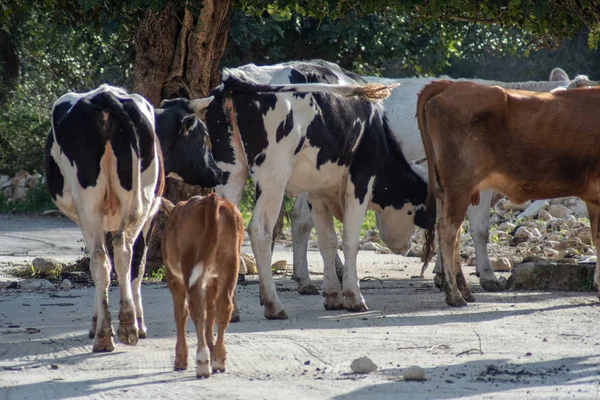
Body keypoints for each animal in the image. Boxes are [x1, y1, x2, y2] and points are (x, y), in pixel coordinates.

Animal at [45, 83, 220, 350]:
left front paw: (96, 321)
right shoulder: (151, 213)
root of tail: (105, 98)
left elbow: (103, 268)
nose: (217, 172)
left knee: (101, 259)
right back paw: (129, 325)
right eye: (204, 136)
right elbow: (138, 265)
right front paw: (139, 321)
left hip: (88, 203)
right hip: (138, 204)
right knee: (125, 252)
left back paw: (104, 335)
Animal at [161, 194, 245, 378]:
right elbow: (211, 310)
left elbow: (181, 313)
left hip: (190, 261)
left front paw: (180, 359)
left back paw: (202, 362)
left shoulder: (173, 278)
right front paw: (211, 344)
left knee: (197, 309)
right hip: (230, 261)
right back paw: (218, 359)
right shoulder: (212, 280)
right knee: (224, 306)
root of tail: (211, 198)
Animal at [204, 70, 428, 318]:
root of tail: (233, 82)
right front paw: (353, 297)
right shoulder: (360, 180)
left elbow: (326, 240)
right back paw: (274, 305)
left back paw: (231, 310)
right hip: (273, 176)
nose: (405, 249)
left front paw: (332, 296)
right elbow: (350, 241)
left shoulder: (317, 190)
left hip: (230, 171)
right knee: (260, 230)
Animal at [418, 80, 600, 306]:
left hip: (450, 189)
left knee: (456, 232)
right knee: (447, 230)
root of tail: (452, 85)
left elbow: (597, 238)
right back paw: (454, 295)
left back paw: (465, 291)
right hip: (459, 184)